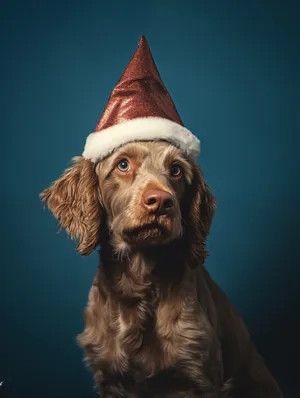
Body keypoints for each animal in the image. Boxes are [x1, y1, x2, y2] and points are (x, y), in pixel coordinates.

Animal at [40, 140, 284, 398]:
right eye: (123, 164)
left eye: (176, 169)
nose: (160, 201)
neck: (140, 282)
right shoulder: (111, 379)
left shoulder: (196, 378)